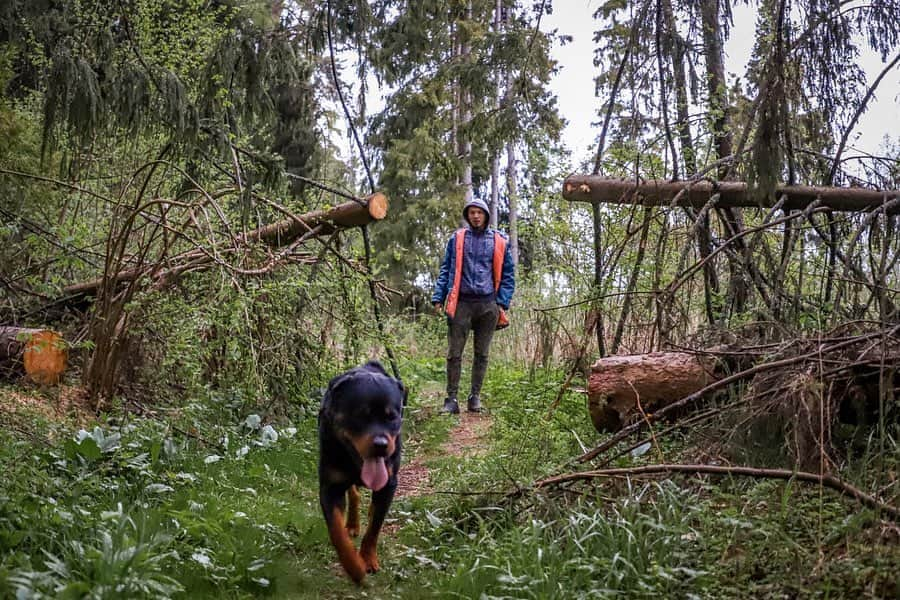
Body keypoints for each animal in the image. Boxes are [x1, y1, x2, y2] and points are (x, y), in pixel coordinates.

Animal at [314, 360, 402, 580]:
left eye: (391, 417)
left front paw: (368, 559)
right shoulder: (330, 486)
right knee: (354, 493)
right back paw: (353, 524)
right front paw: (354, 567)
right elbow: (337, 532)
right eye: (361, 416)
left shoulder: (389, 483)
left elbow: (374, 528)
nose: (381, 444)